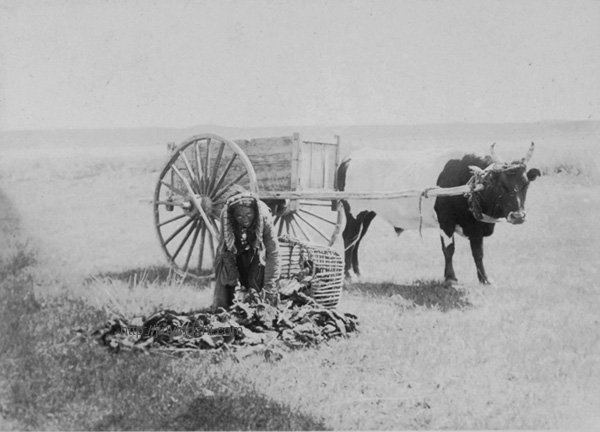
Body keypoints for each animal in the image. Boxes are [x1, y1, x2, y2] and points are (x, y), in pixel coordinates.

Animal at [337, 143, 541, 284]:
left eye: (525, 184)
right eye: (500, 186)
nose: (518, 216)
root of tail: (351, 157)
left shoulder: (476, 227)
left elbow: (478, 253)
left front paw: (484, 279)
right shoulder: (446, 222)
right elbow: (449, 250)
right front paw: (450, 278)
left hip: (368, 213)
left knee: (357, 240)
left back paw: (358, 272)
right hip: (353, 211)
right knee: (349, 237)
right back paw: (347, 274)